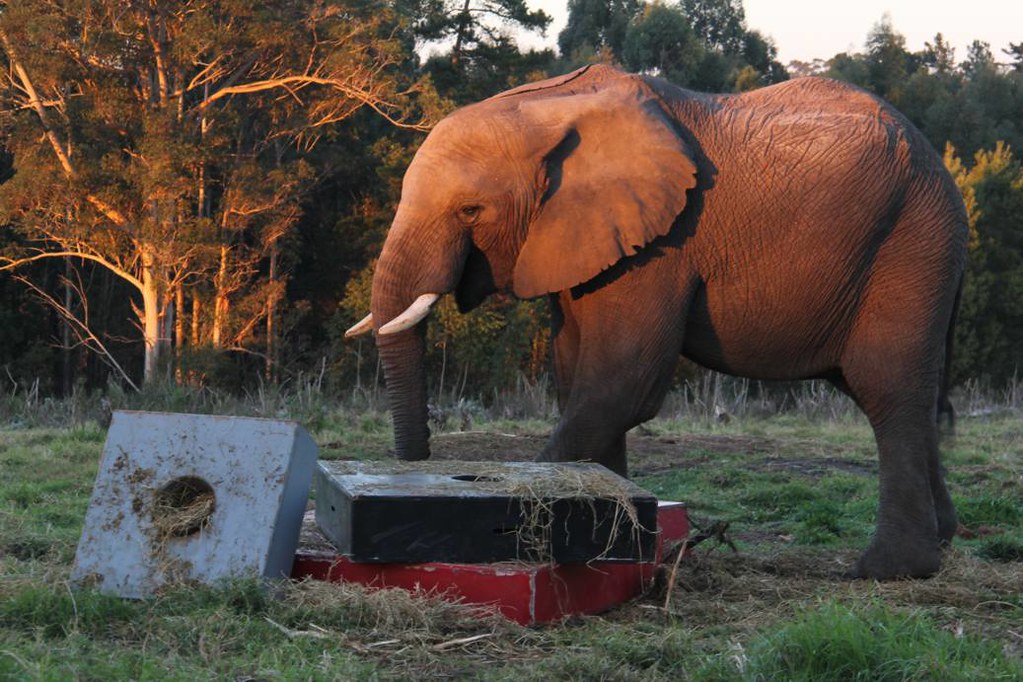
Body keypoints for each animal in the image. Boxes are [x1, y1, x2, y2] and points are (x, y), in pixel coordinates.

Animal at [346, 64, 968, 580]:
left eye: (471, 211)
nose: (420, 473)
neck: (549, 106)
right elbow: (577, 378)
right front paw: (615, 533)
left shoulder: (662, 246)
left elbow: (620, 384)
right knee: (906, 393)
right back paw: (943, 541)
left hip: (910, 242)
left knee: (886, 389)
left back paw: (886, 571)